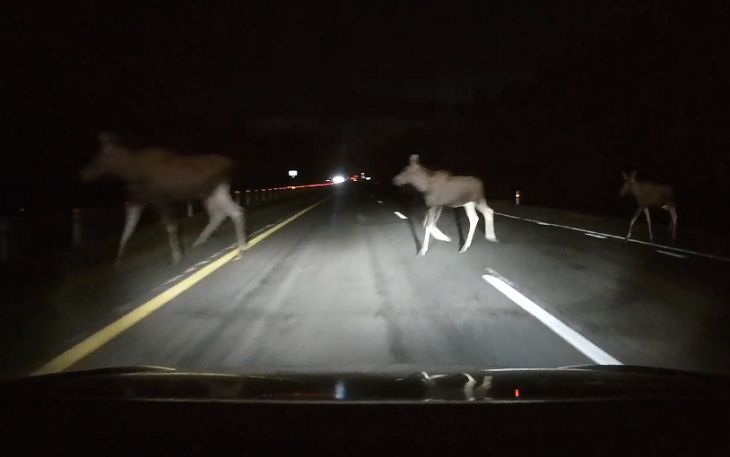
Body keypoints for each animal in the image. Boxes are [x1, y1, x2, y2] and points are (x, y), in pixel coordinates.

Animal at [79, 132, 245, 264]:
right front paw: (117, 260)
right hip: (208, 195)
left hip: (218, 190)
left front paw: (177, 256)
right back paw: (200, 240)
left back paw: (241, 244)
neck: (129, 173)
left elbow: (170, 227)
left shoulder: (160, 200)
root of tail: (232, 165)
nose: (83, 174)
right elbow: (127, 231)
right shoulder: (135, 201)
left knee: (234, 211)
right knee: (219, 214)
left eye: (99, 156)